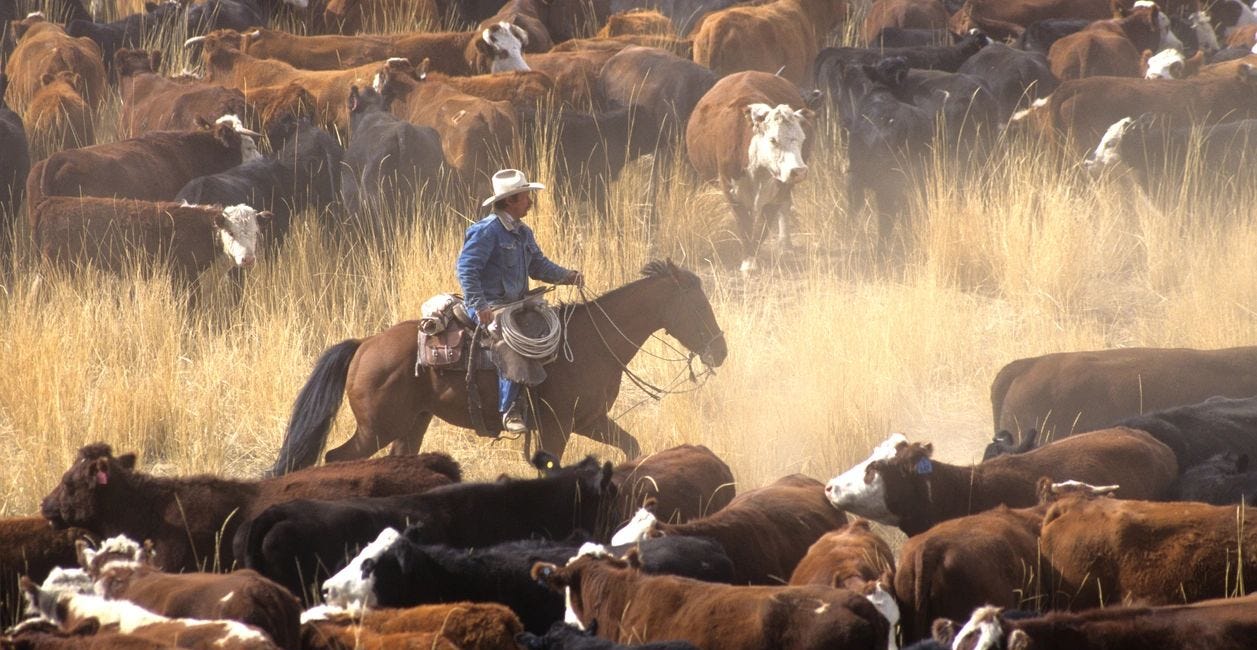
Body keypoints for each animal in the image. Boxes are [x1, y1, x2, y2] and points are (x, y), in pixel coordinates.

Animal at [686, 71, 812, 273]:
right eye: (773, 139)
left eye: (802, 139)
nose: (798, 171)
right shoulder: (730, 189)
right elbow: (744, 222)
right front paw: (748, 262)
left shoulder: (778, 190)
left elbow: (763, 225)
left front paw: (752, 259)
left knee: (784, 207)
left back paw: (785, 244)